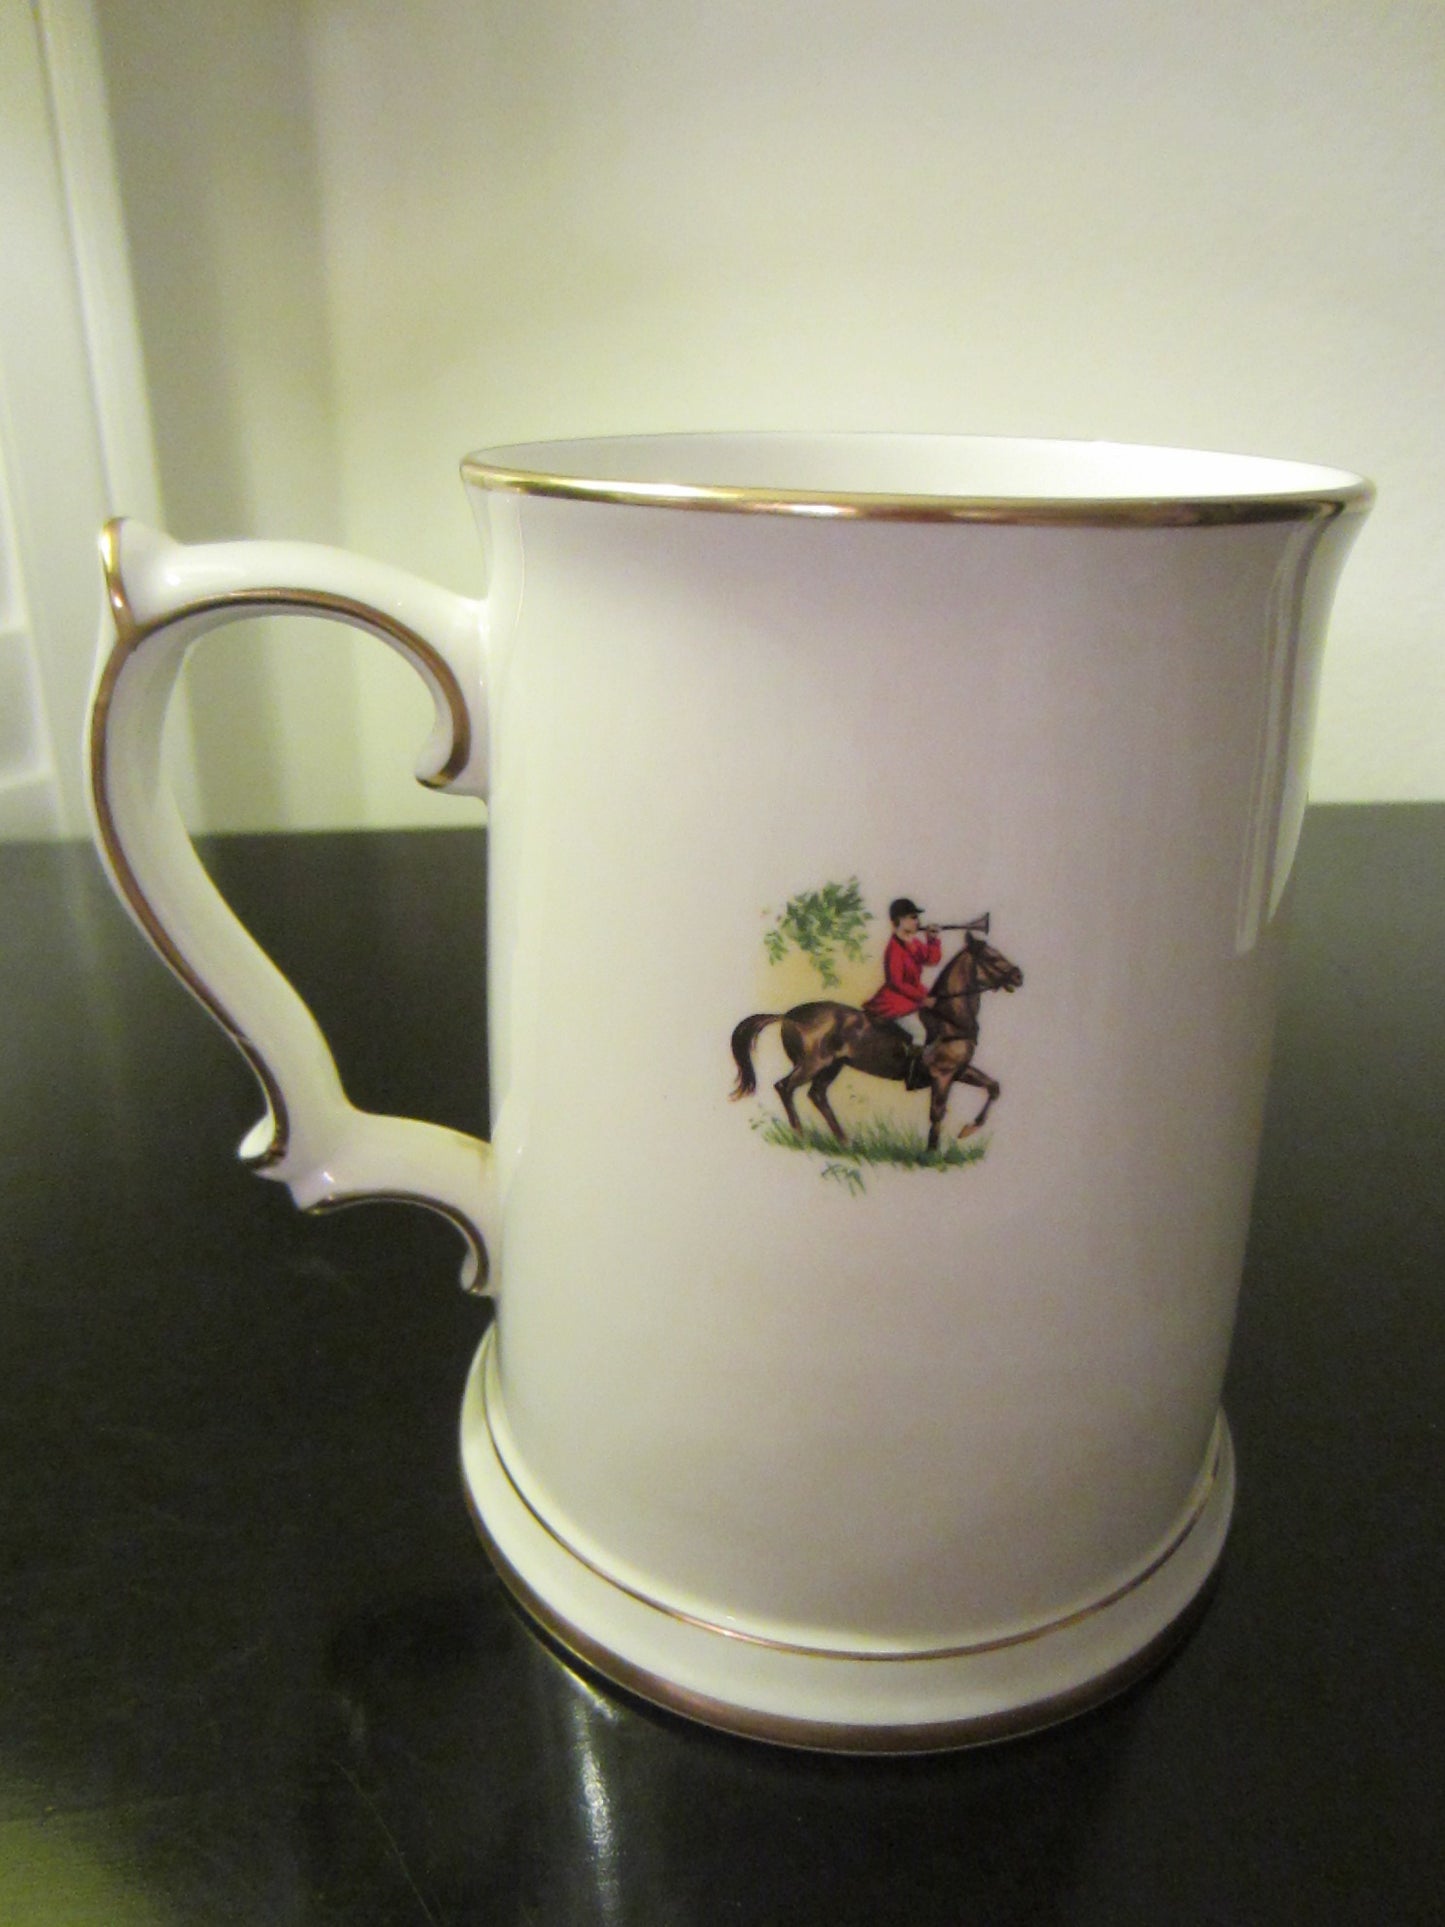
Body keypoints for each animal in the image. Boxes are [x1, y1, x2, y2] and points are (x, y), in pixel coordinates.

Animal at [730, 927, 1024, 1152]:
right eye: (992, 957)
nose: (1018, 975)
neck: (950, 1017)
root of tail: (788, 1015)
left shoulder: (959, 1070)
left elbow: (993, 1087)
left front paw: (968, 1129)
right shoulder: (943, 1074)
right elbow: (937, 1112)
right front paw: (931, 1154)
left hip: (833, 1066)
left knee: (817, 1095)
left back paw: (845, 1141)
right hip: (814, 1063)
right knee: (784, 1087)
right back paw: (800, 1135)